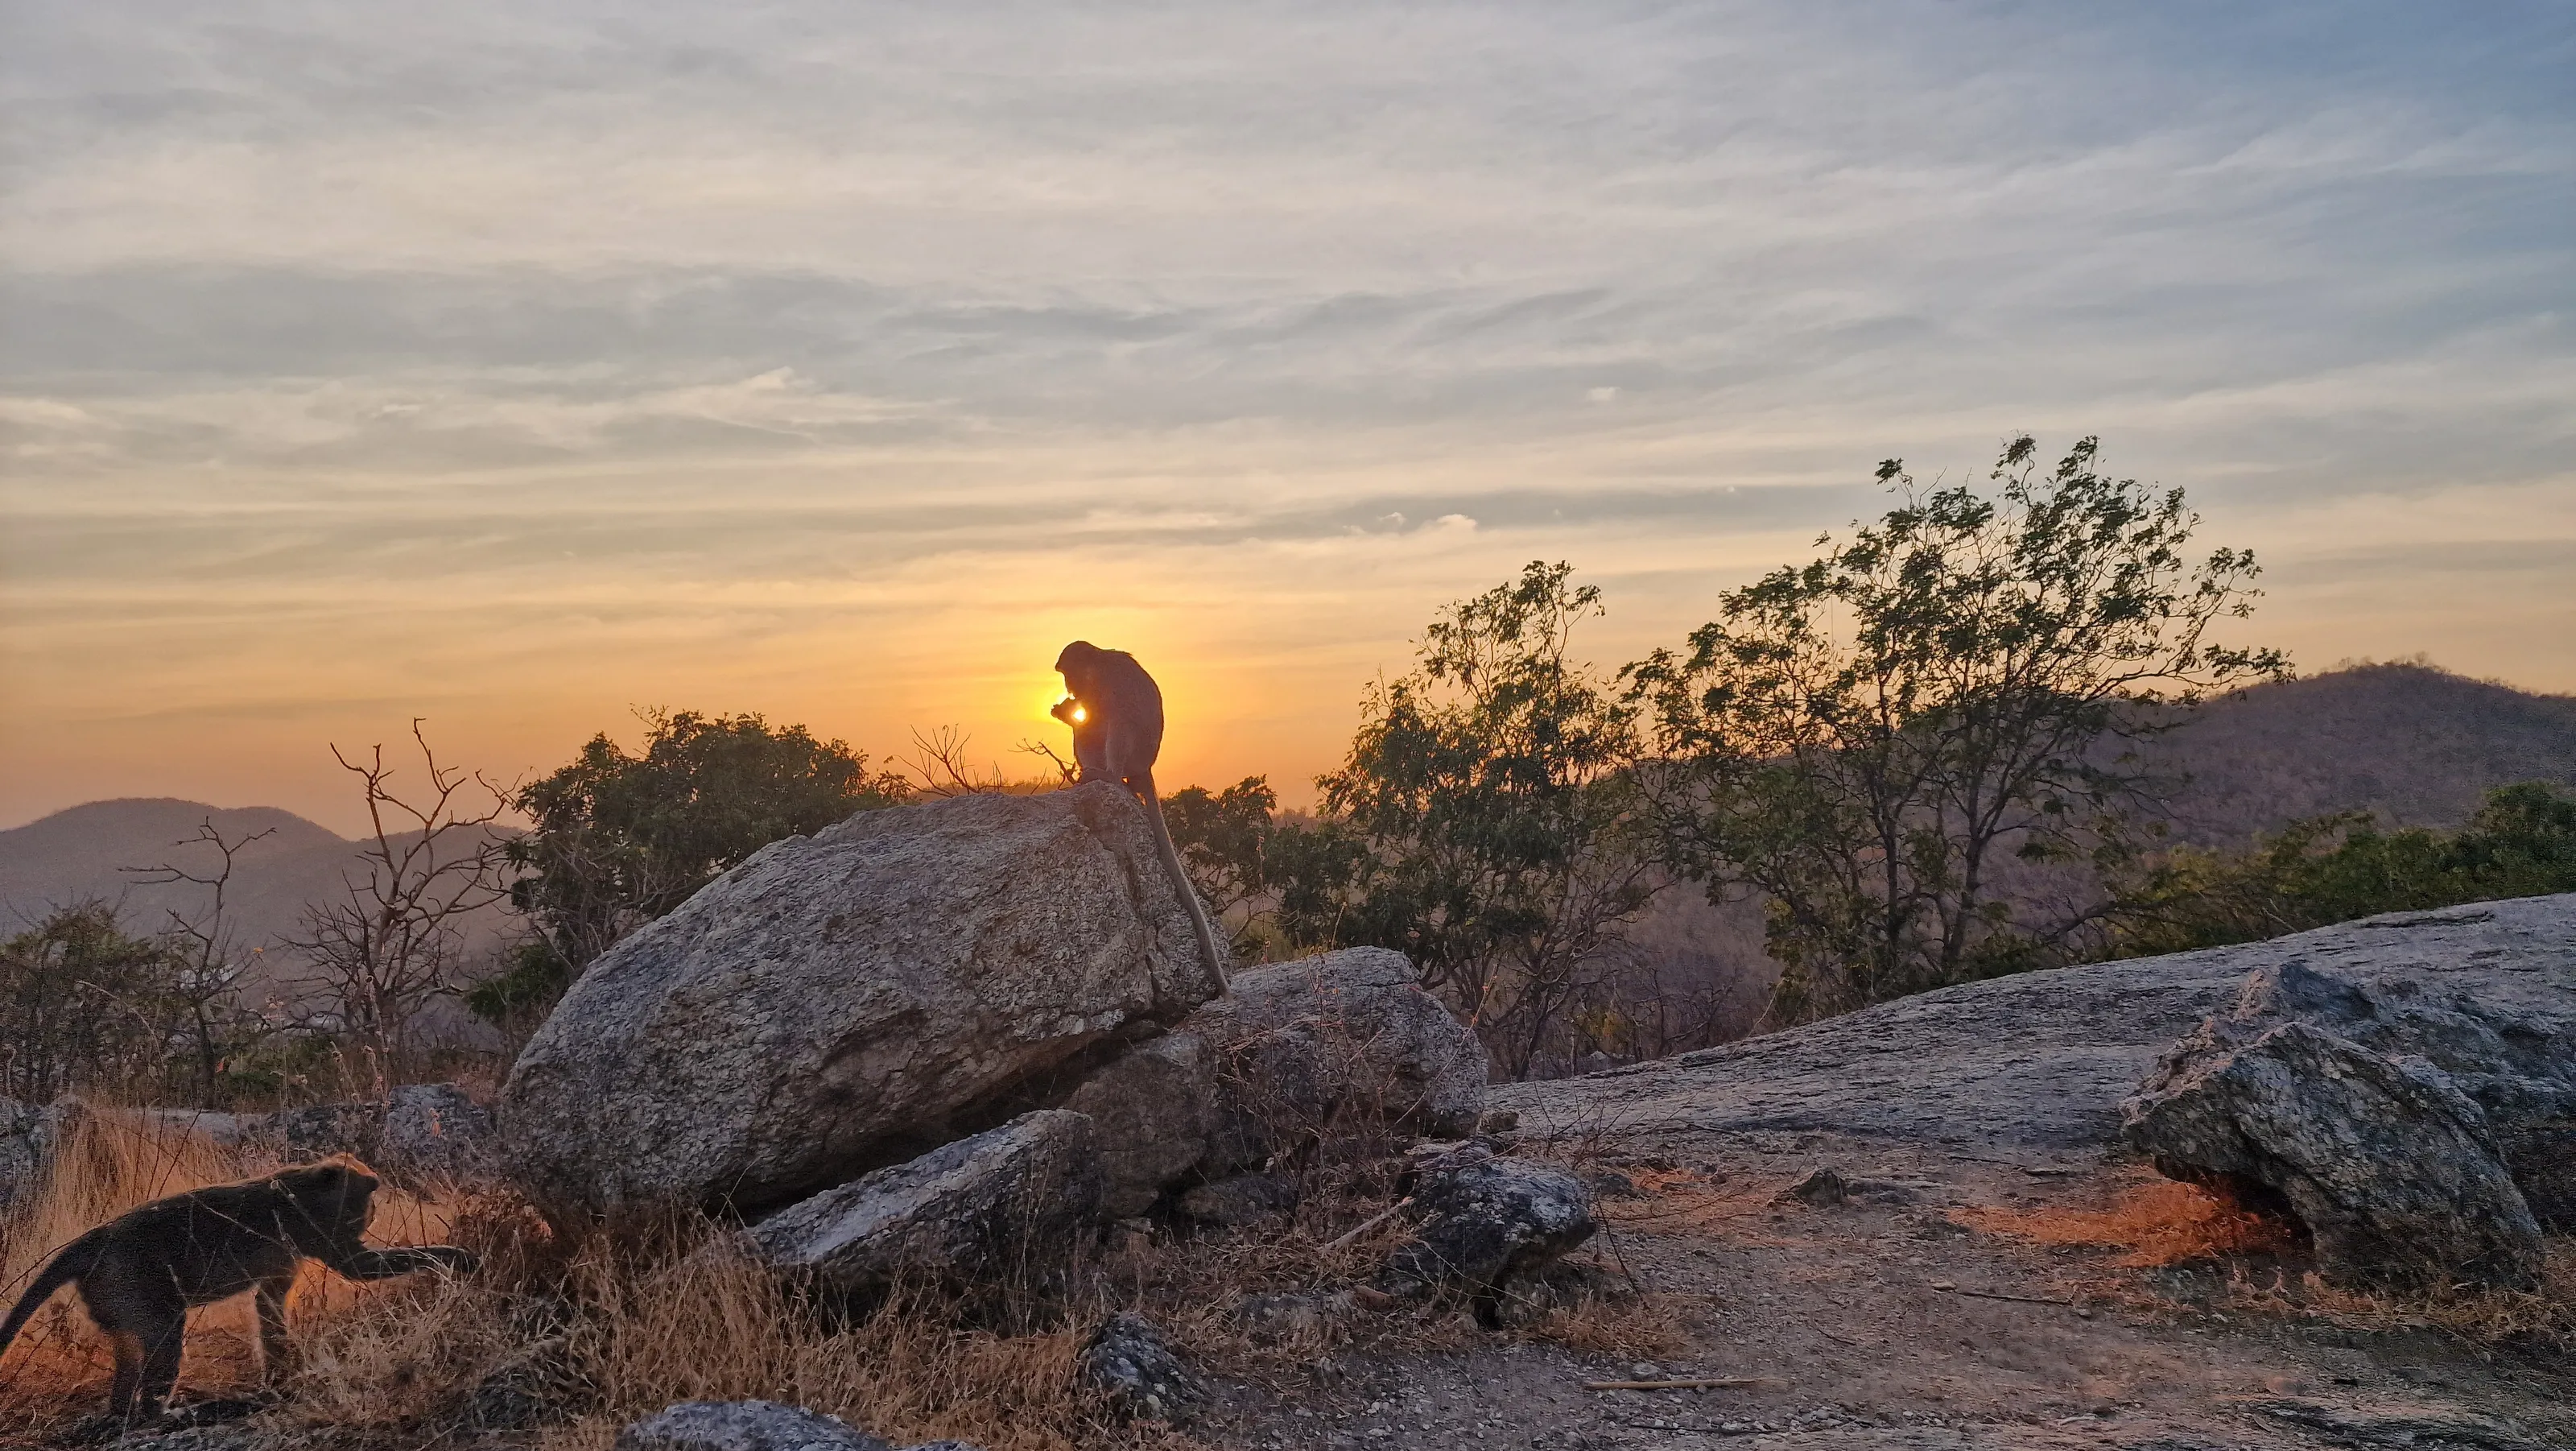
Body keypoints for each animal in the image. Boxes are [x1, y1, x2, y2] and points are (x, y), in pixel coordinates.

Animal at [0, 1156, 476, 1426]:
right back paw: (158, 1415)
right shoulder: (314, 1229)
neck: (297, 1190)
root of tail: (95, 1240)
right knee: (164, 1339)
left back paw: (122, 1412)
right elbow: (359, 1268)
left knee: (130, 1352)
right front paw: (454, 1256)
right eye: (366, 1205)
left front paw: (282, 1379)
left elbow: (269, 1306)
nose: (366, 1221)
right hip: (134, 1285)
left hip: (112, 1298)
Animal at [1053, 640, 1230, 989]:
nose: (1068, 688)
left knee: (1113, 722)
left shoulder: (1101, 683)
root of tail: (1144, 768)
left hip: (1134, 752)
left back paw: (1107, 777)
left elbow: (1101, 712)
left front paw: (1066, 710)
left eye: (1067, 673)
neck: (1096, 663)